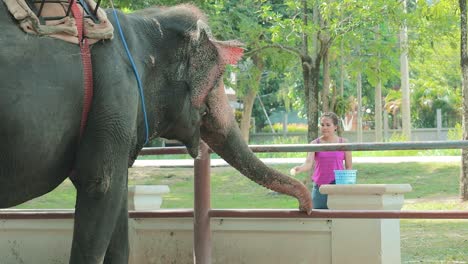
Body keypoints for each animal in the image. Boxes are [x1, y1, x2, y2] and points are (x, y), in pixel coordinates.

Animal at [0, 2, 314, 264]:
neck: (141, 26)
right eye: (216, 81)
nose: (306, 208)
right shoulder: (115, 95)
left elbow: (119, 201)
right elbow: (100, 185)